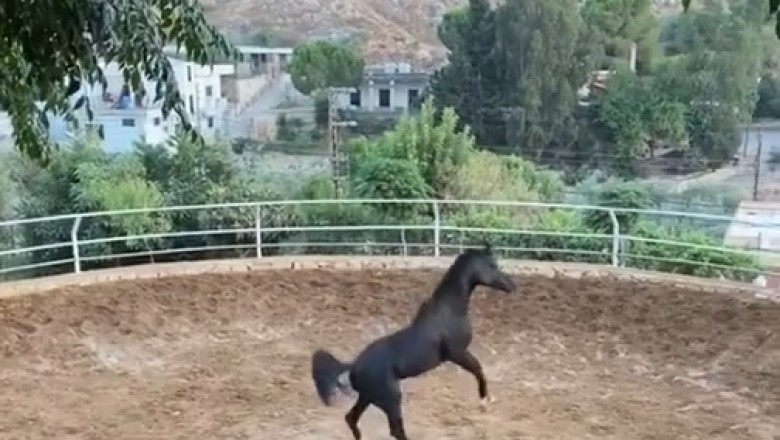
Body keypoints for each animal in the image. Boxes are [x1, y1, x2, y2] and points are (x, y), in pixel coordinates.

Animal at [310, 244, 517, 439]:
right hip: (390, 399)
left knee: (352, 419)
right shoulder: (457, 353)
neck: (450, 311)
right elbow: (478, 370)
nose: (512, 286)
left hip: (368, 398)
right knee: (394, 429)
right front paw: (484, 402)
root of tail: (352, 366)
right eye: (492, 265)